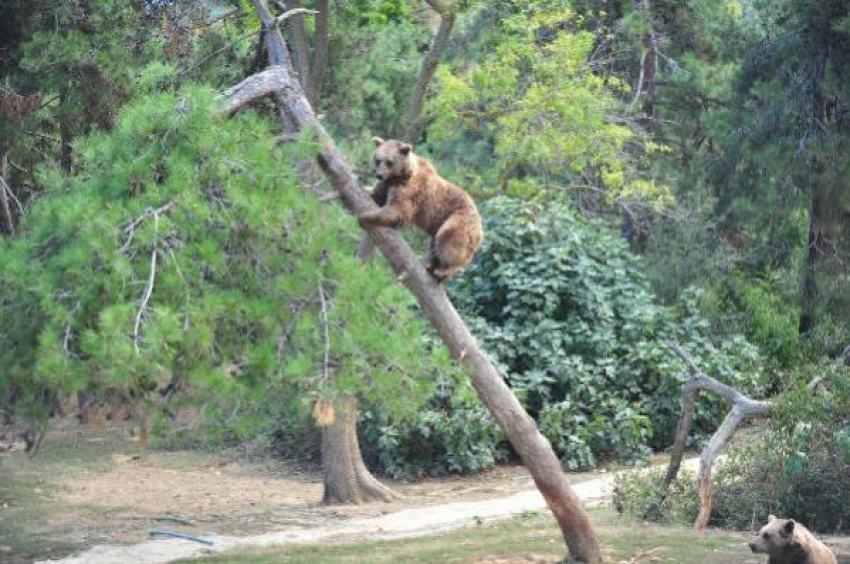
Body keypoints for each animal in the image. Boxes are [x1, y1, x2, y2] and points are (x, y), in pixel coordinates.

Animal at [354, 137, 480, 282]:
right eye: (378, 159)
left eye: (389, 162)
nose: (379, 174)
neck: (398, 176)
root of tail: (481, 231)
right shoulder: (386, 186)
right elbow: (375, 194)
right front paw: (360, 182)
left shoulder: (408, 189)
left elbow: (397, 211)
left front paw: (364, 217)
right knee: (435, 245)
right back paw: (429, 264)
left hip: (458, 221)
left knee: (447, 242)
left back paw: (441, 271)